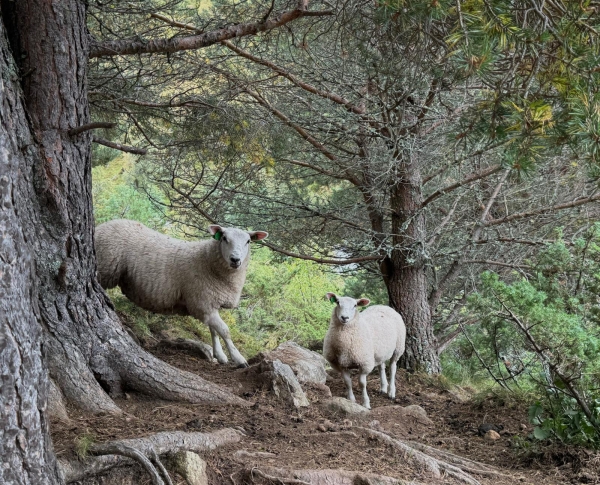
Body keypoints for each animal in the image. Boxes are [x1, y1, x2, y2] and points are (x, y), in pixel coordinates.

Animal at [94, 219, 268, 366]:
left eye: (248, 241)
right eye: (224, 238)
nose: (235, 259)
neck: (208, 260)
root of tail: (101, 226)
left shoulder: (209, 302)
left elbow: (214, 330)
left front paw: (220, 355)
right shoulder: (202, 302)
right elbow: (225, 331)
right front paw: (238, 358)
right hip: (105, 265)